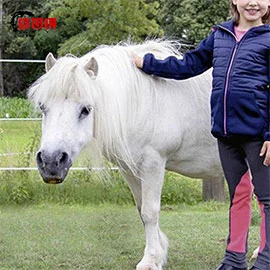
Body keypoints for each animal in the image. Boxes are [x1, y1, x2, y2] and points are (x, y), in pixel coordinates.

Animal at [29, 40, 224, 270]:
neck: (139, 103)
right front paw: (160, 252)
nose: (51, 161)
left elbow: (150, 211)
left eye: (86, 109)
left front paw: (150, 260)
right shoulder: (130, 168)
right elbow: (141, 209)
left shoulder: (153, 164)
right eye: (43, 107)